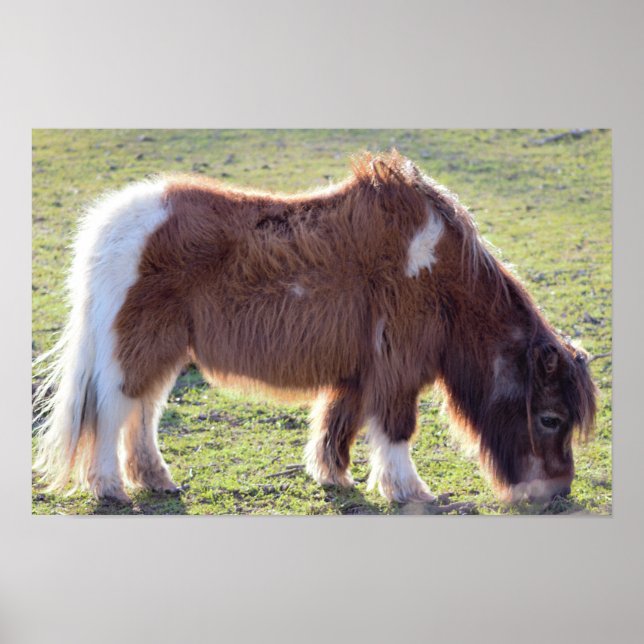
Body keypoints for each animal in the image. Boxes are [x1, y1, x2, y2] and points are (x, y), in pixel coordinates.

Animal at [33, 151, 597, 505]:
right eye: (549, 418)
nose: (556, 494)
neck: (439, 273)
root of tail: (110, 225)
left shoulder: (357, 372)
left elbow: (336, 424)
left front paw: (335, 478)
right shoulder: (396, 371)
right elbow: (396, 429)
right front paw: (410, 491)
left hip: (164, 350)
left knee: (143, 412)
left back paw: (157, 481)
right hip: (137, 348)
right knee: (112, 411)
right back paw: (109, 489)